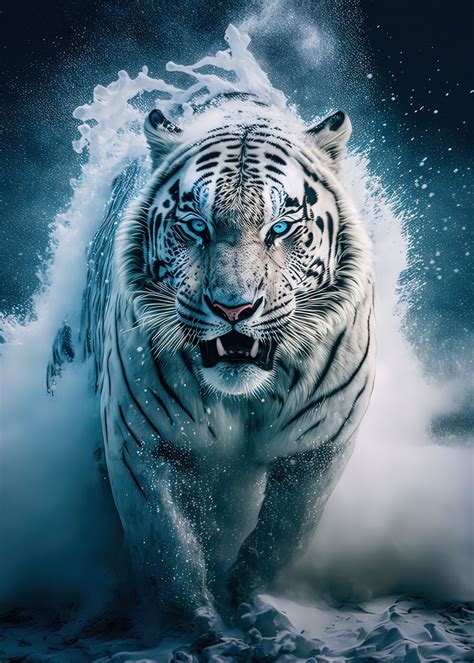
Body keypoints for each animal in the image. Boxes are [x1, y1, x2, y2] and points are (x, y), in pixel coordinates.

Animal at [75, 94, 375, 634]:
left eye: (280, 228)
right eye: (198, 226)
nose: (234, 309)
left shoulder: (320, 444)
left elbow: (285, 533)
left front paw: (250, 602)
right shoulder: (139, 444)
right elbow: (165, 546)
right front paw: (197, 623)